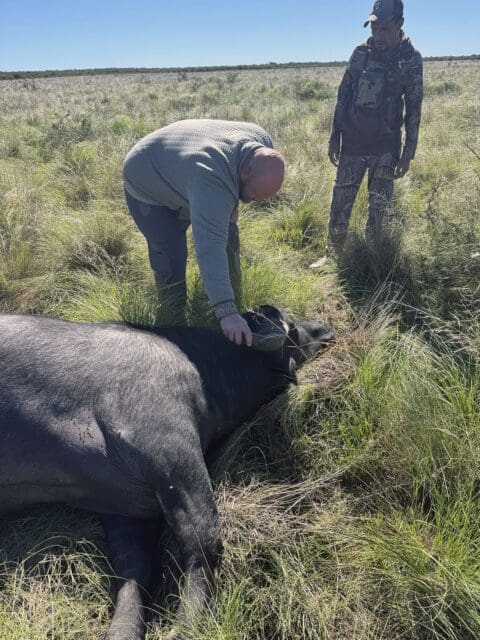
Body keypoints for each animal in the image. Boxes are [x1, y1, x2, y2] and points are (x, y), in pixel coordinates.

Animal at [0, 305, 334, 640]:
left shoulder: (127, 509)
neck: (206, 374)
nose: (327, 330)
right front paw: (187, 624)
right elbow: (204, 540)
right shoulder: (171, 451)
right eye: (293, 327)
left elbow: (136, 576)